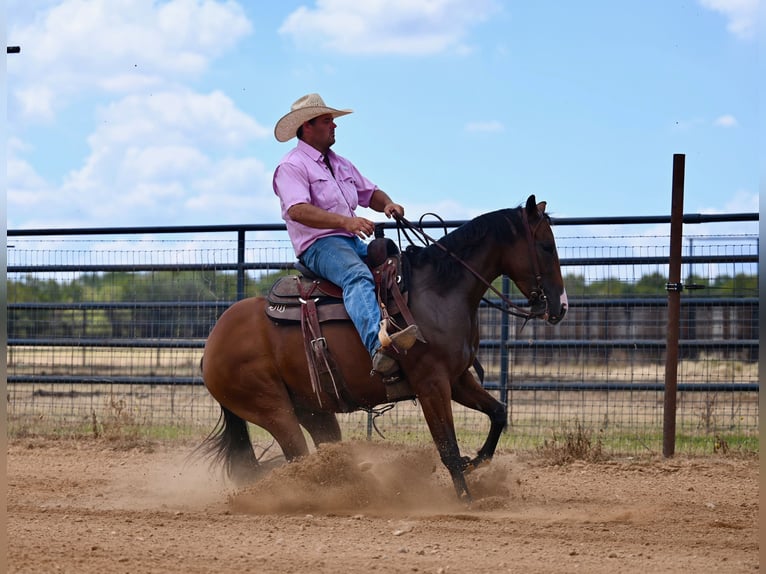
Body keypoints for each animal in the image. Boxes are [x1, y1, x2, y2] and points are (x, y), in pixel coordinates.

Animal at [201, 196, 568, 502]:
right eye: (545, 246)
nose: (560, 307)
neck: (440, 291)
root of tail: (213, 343)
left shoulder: (458, 379)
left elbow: (498, 413)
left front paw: (475, 462)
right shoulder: (431, 384)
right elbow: (447, 446)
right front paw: (465, 498)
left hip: (313, 410)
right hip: (274, 410)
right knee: (297, 458)